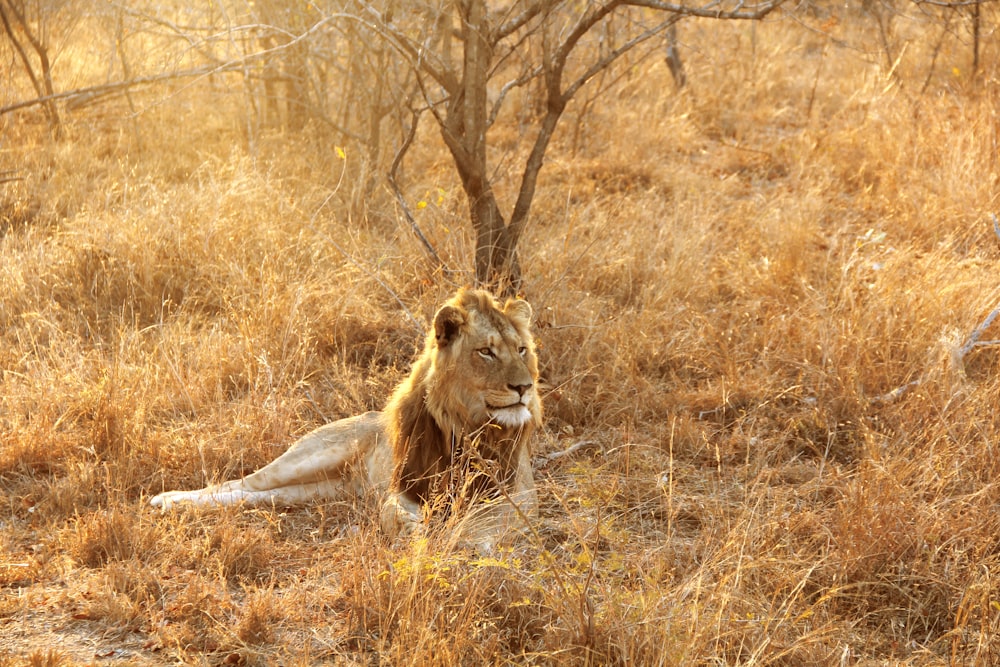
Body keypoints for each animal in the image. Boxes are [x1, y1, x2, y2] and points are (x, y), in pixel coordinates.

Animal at [150, 290, 540, 544]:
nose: (525, 387)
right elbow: (391, 512)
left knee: (255, 495)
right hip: (308, 457)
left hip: (319, 490)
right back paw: (167, 500)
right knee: (238, 483)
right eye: (486, 352)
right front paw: (416, 533)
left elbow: (483, 523)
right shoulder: (403, 487)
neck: (467, 424)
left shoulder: (518, 494)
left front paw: (460, 540)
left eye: (522, 349)